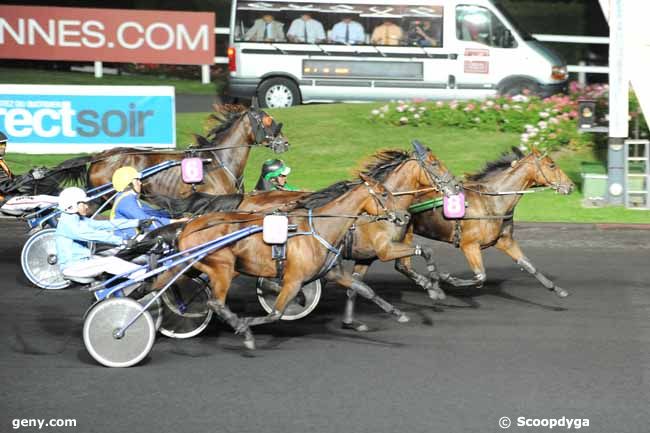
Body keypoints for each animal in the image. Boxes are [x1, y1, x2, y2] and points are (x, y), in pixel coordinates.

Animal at [172, 174, 410, 350]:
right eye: (384, 193)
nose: (404, 215)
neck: (320, 228)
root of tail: (188, 227)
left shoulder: (334, 272)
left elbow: (365, 290)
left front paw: (399, 314)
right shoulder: (293, 280)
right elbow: (275, 313)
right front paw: (246, 325)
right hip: (222, 266)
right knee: (215, 302)